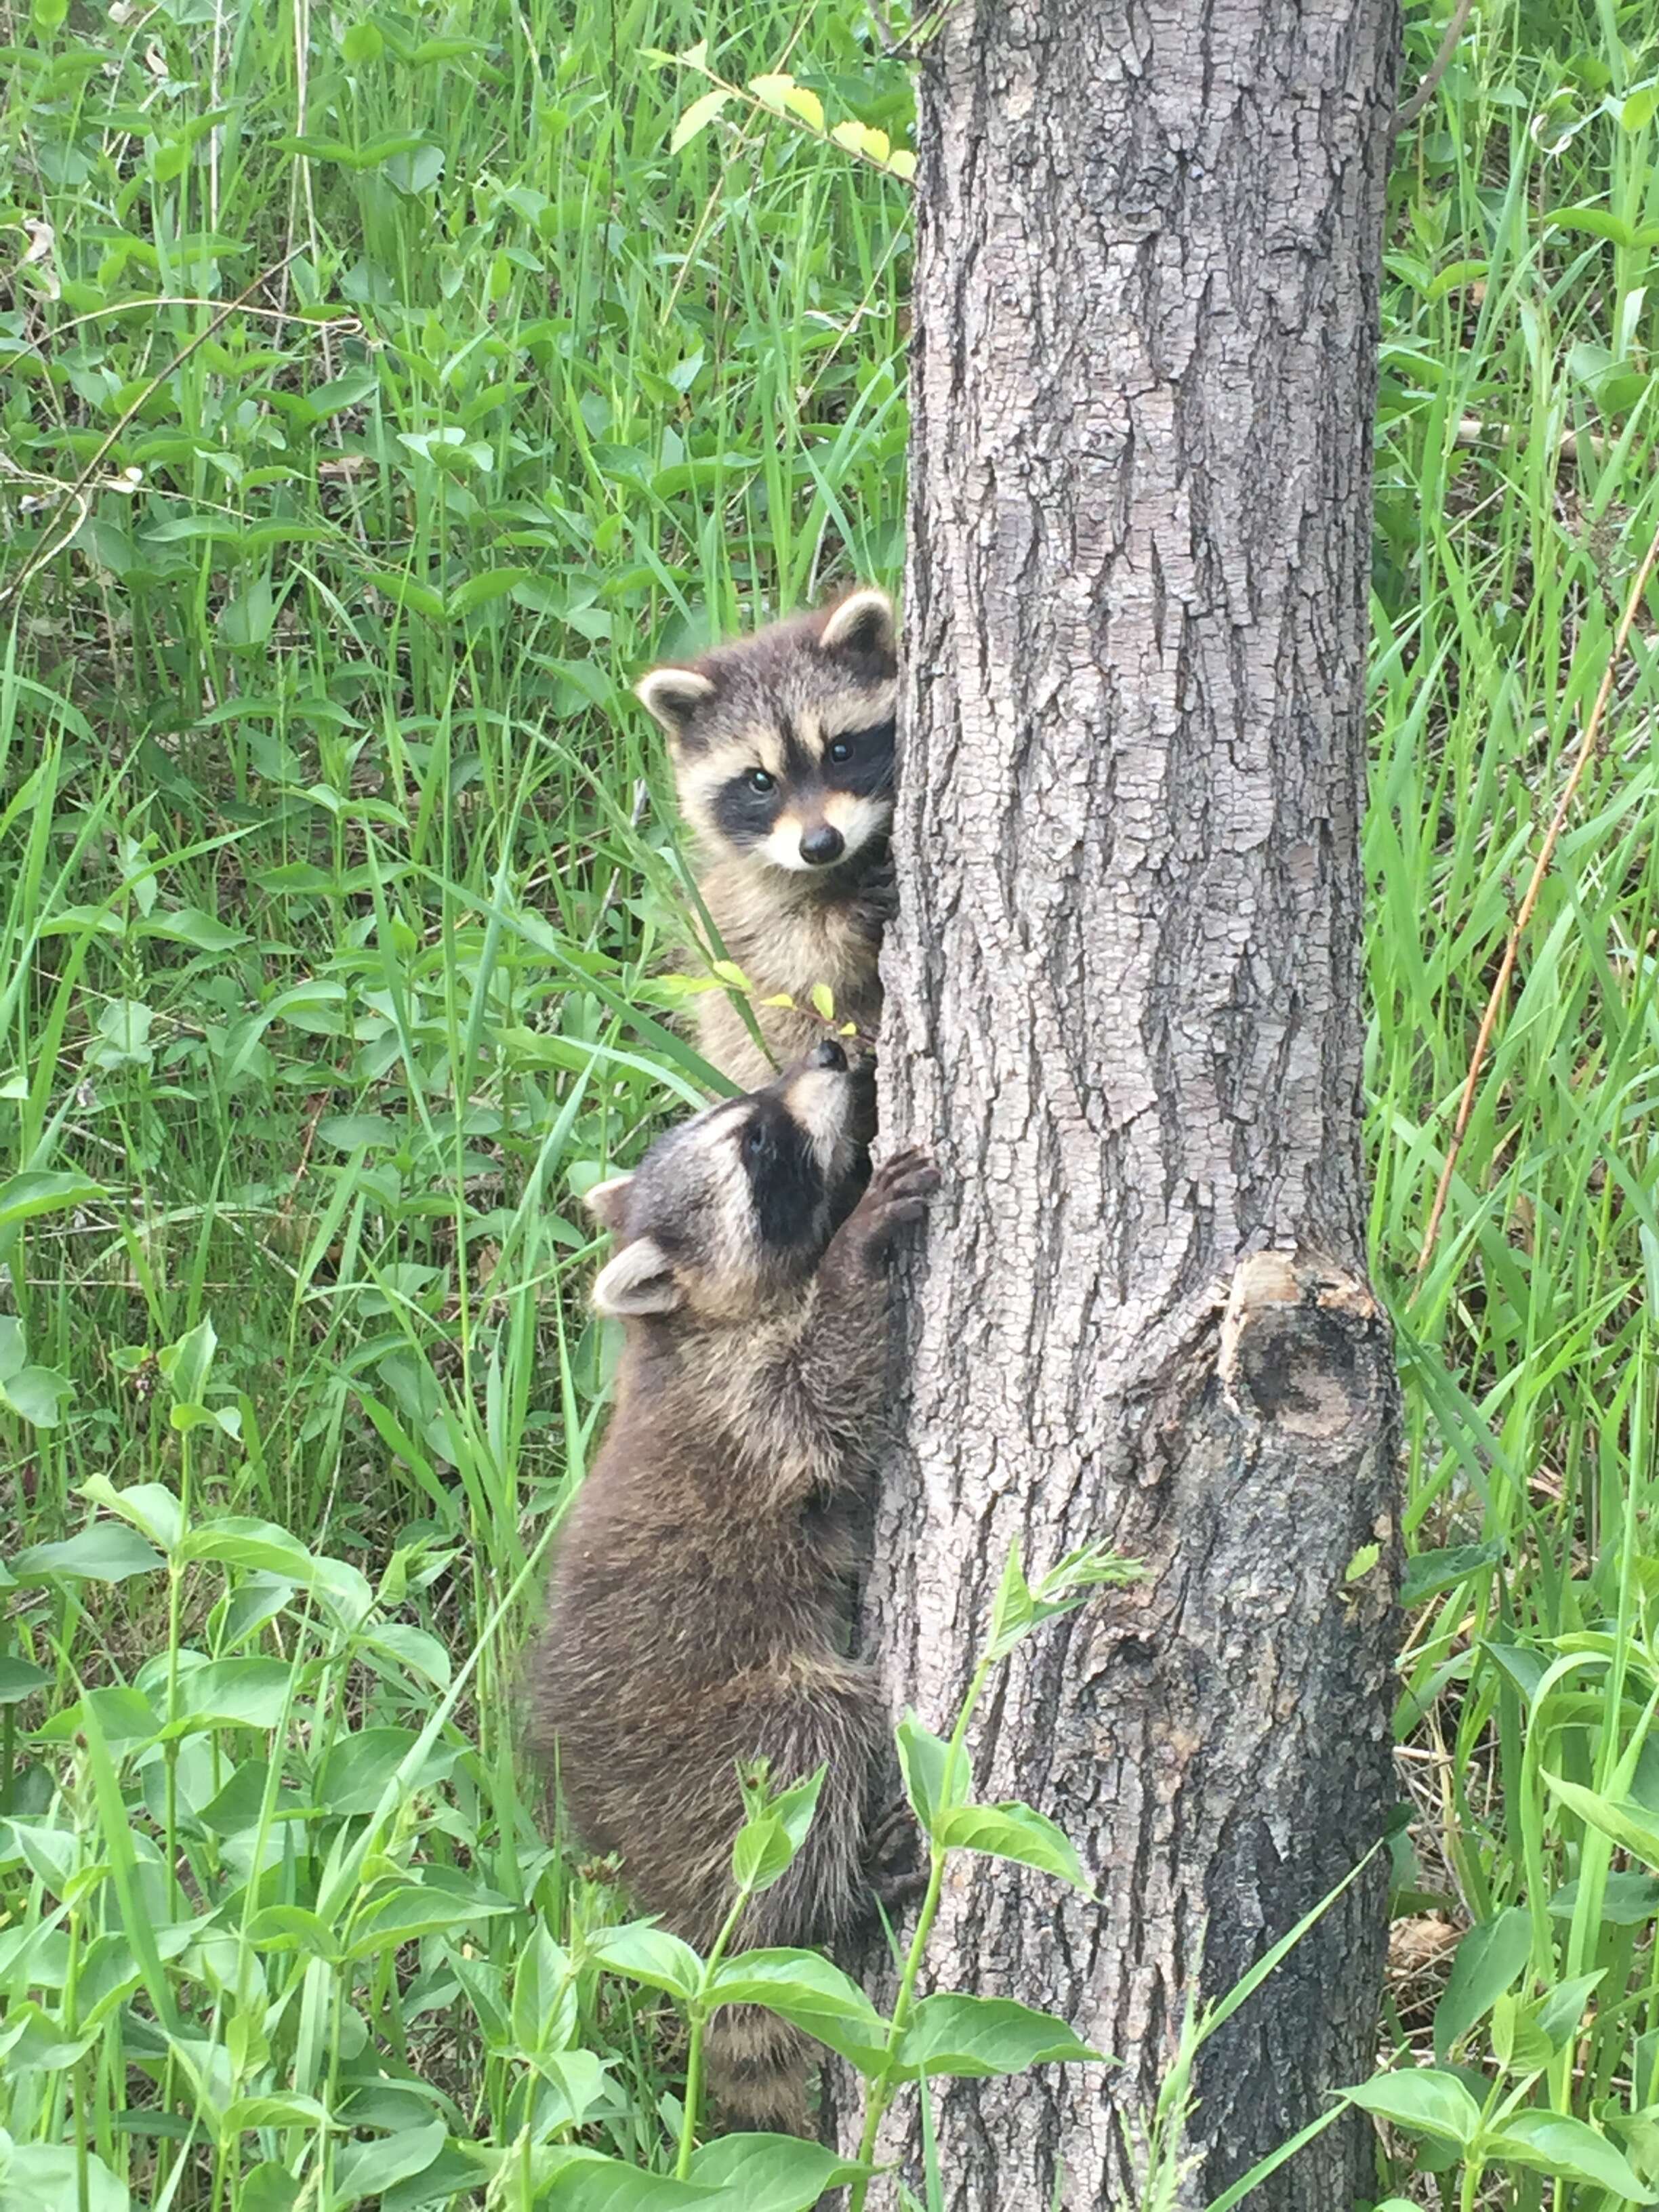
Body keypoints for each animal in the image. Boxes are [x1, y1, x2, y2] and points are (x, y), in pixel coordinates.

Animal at [539, 1044, 942, 2132]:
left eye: (749, 1107)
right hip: (716, 1760)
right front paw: (858, 1244)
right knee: (816, 1733)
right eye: (757, 1142)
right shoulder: (748, 1404)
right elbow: (831, 1389)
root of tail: (665, 1891)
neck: (691, 1322)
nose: (833, 1053)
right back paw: (840, 1894)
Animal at [632, 592, 898, 1092]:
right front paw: (845, 917)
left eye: (840, 751)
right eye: (760, 781)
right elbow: (790, 957)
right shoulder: (742, 904)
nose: (821, 845)